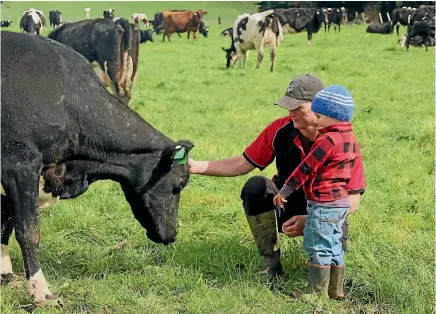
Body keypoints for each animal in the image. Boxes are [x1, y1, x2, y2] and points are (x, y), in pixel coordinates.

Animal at [0, 30, 194, 306]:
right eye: (180, 184)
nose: (172, 234)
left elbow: (5, 224)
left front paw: (5, 273)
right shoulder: (20, 167)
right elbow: (28, 231)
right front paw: (41, 292)